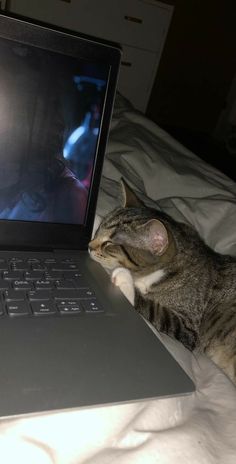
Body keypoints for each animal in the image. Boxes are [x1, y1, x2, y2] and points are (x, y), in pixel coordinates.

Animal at [88, 179, 236, 382]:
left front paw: (125, 280)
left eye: (109, 244)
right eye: (99, 230)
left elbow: (155, 309)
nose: (89, 246)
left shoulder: (189, 328)